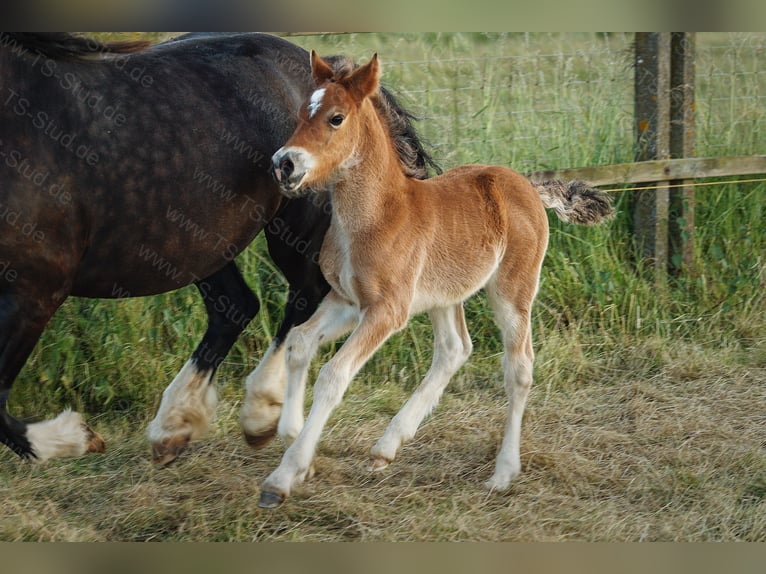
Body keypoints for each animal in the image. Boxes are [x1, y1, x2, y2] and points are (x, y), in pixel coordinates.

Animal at [0, 33, 437, 465]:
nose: (282, 163)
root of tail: (335, 71)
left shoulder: (35, 290)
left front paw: (80, 437)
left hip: (295, 229)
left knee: (302, 298)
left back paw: (258, 413)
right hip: (199, 243)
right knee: (237, 306)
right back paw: (174, 426)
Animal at [259, 51, 613, 508]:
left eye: (336, 118)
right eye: (303, 111)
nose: (283, 164)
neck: (376, 216)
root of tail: (527, 185)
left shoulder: (388, 310)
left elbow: (334, 375)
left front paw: (284, 475)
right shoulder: (347, 300)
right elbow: (300, 342)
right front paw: (292, 437)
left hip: (512, 291)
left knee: (518, 368)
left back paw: (503, 472)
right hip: (443, 295)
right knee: (454, 349)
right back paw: (387, 446)